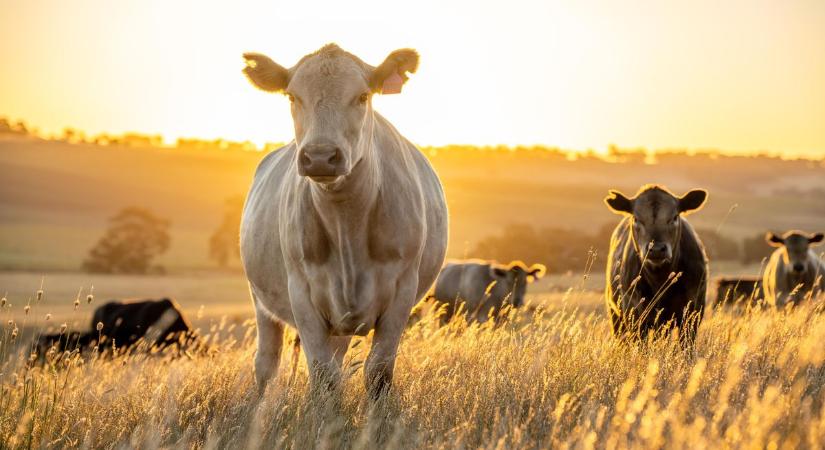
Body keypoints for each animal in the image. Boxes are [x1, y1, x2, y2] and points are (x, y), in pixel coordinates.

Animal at [241, 44, 448, 398]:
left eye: (363, 96)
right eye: (292, 96)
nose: (320, 157)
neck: (346, 223)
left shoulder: (402, 291)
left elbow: (378, 372)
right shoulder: (301, 293)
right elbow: (322, 376)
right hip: (261, 301)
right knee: (266, 363)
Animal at [600, 184, 708, 344]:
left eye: (675, 217)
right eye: (636, 218)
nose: (656, 249)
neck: (659, 279)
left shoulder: (692, 314)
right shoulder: (635, 316)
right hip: (616, 315)